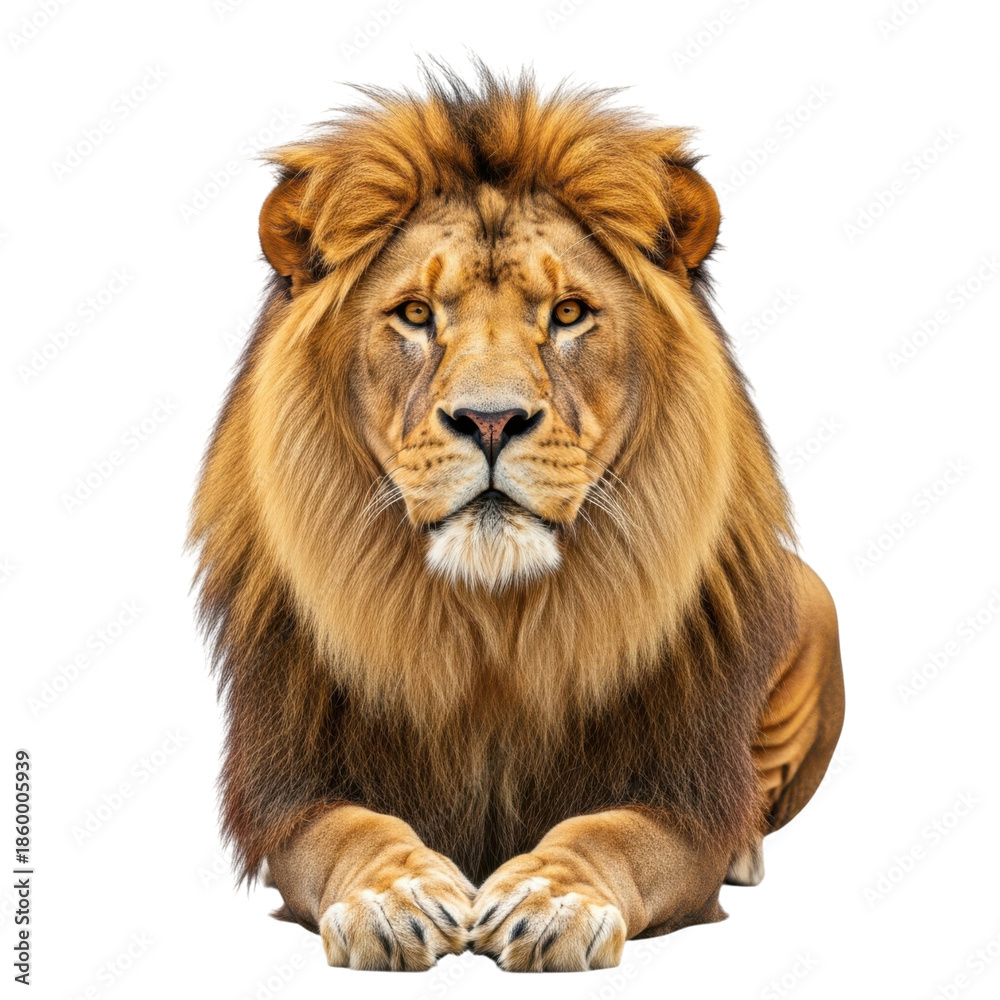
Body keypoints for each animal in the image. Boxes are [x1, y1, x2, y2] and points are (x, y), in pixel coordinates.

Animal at [189, 64, 844, 973]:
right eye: (416, 314)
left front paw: (550, 899)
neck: (495, 620)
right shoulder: (293, 790)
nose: (491, 420)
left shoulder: (682, 798)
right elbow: (350, 831)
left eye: (567, 314)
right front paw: (393, 898)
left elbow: (612, 833)